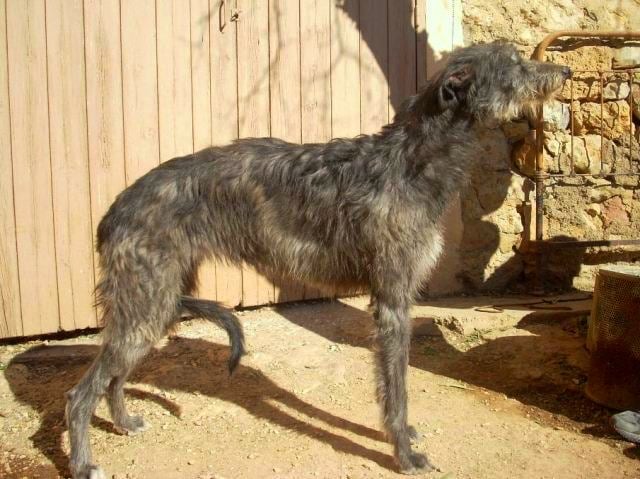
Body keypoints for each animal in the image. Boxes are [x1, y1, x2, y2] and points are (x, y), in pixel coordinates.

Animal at [65, 41, 570, 478]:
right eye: (513, 64)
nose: (563, 72)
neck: (413, 159)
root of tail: (115, 209)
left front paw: (405, 438)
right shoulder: (393, 301)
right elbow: (397, 388)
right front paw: (404, 454)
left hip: (153, 307)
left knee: (114, 378)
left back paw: (125, 422)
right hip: (144, 304)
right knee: (79, 394)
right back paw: (83, 463)